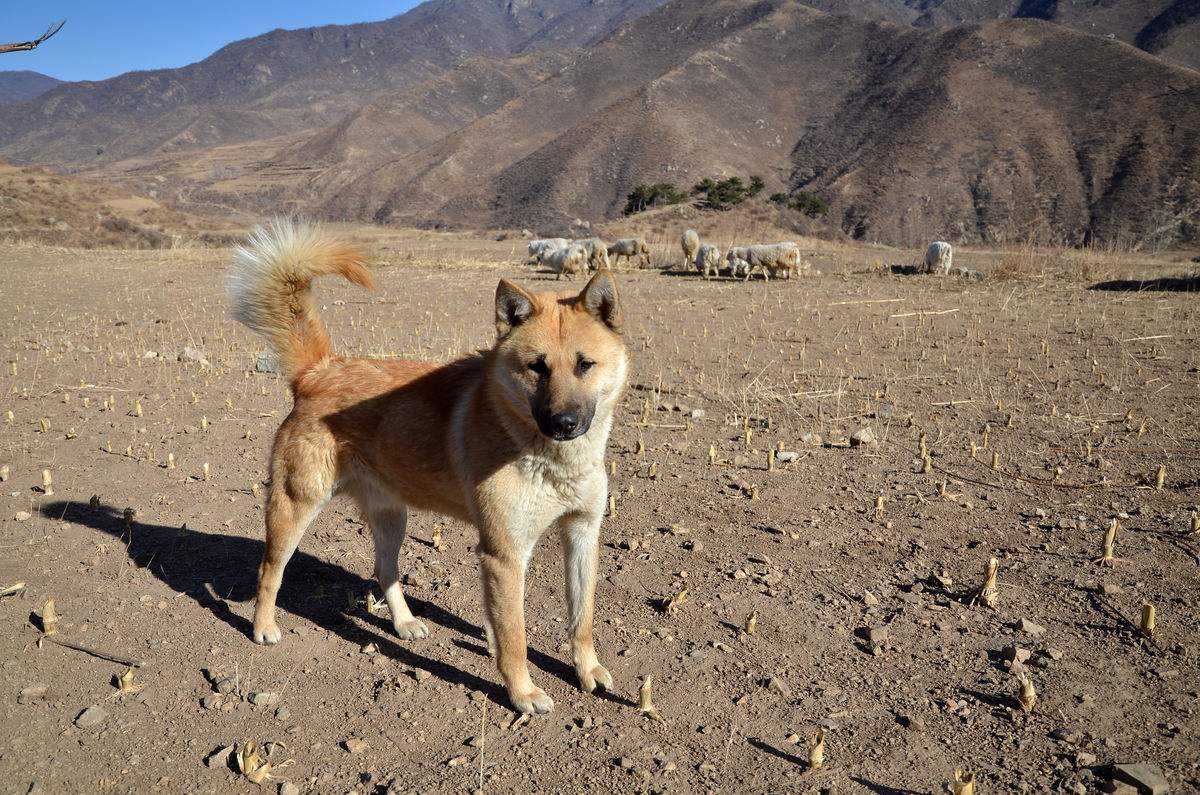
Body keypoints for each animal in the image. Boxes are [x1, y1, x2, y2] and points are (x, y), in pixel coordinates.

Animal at [228, 222, 633, 715]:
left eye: (585, 364)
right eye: (536, 367)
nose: (564, 423)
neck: (550, 459)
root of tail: (320, 371)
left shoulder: (582, 533)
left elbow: (582, 617)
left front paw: (588, 670)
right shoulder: (504, 554)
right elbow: (514, 638)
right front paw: (522, 693)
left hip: (391, 515)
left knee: (384, 570)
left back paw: (404, 624)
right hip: (295, 506)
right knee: (270, 570)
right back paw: (262, 627)